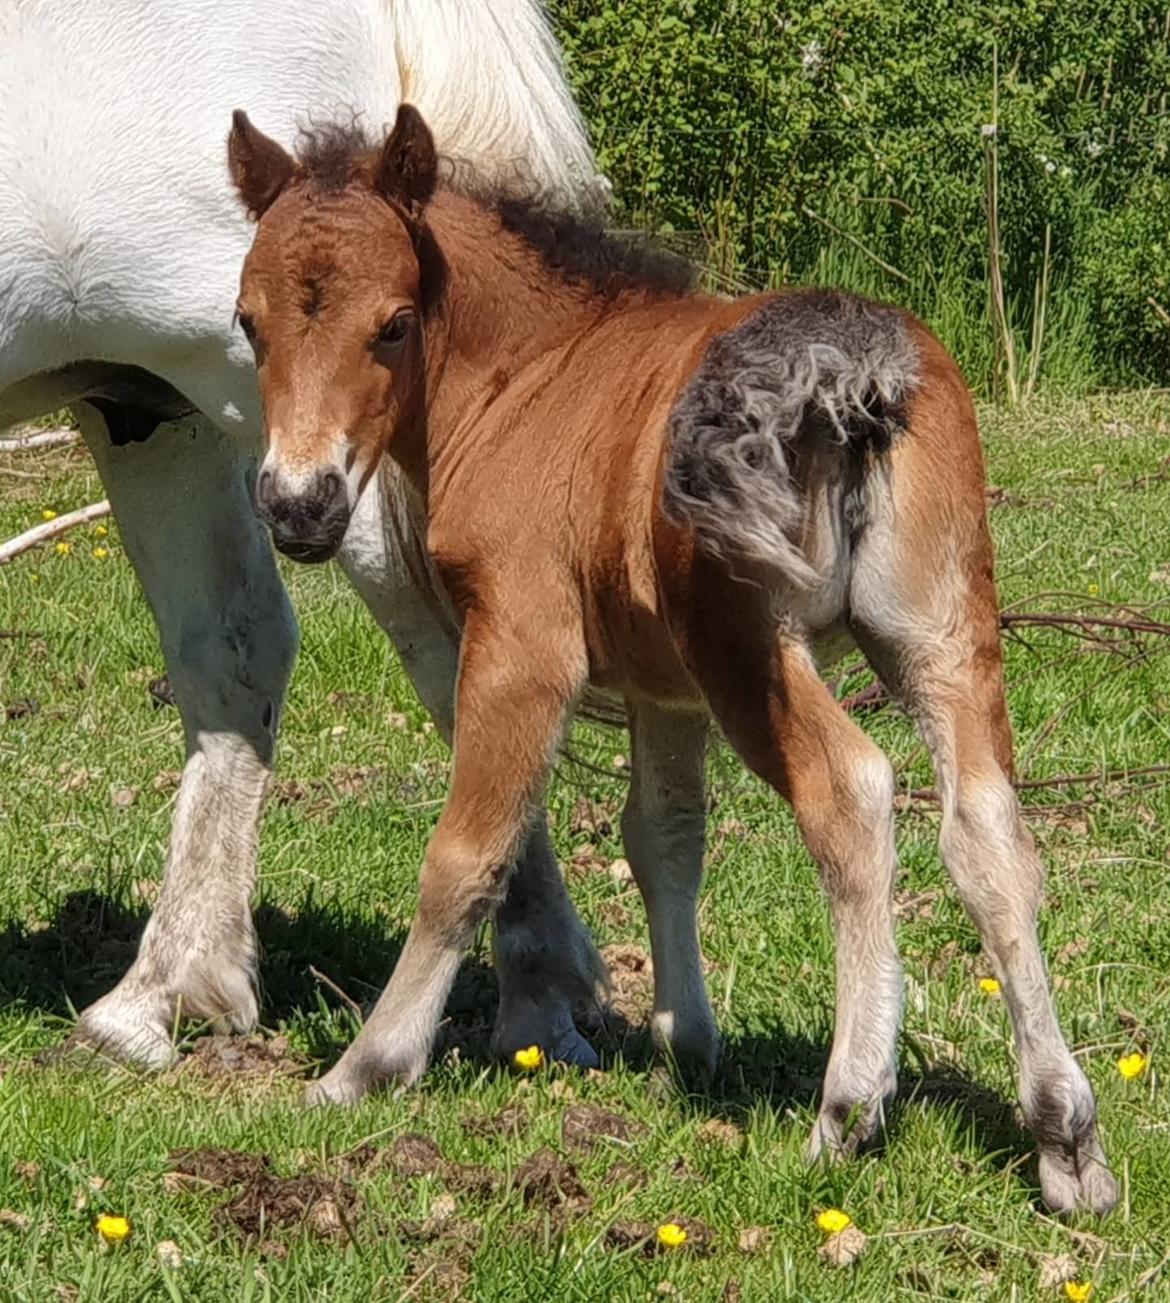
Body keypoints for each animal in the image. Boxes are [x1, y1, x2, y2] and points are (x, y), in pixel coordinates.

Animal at [228, 106, 1115, 1214]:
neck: (529, 373)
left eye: (392, 324)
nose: (297, 505)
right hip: (941, 629)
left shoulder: (524, 641)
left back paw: (848, 1104)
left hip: (746, 641)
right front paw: (686, 1044)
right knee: (989, 829)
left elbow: (468, 854)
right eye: (248, 325)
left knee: (853, 792)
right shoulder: (665, 687)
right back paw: (1066, 1137)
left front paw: (367, 1066)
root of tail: (853, 371)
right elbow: (664, 839)